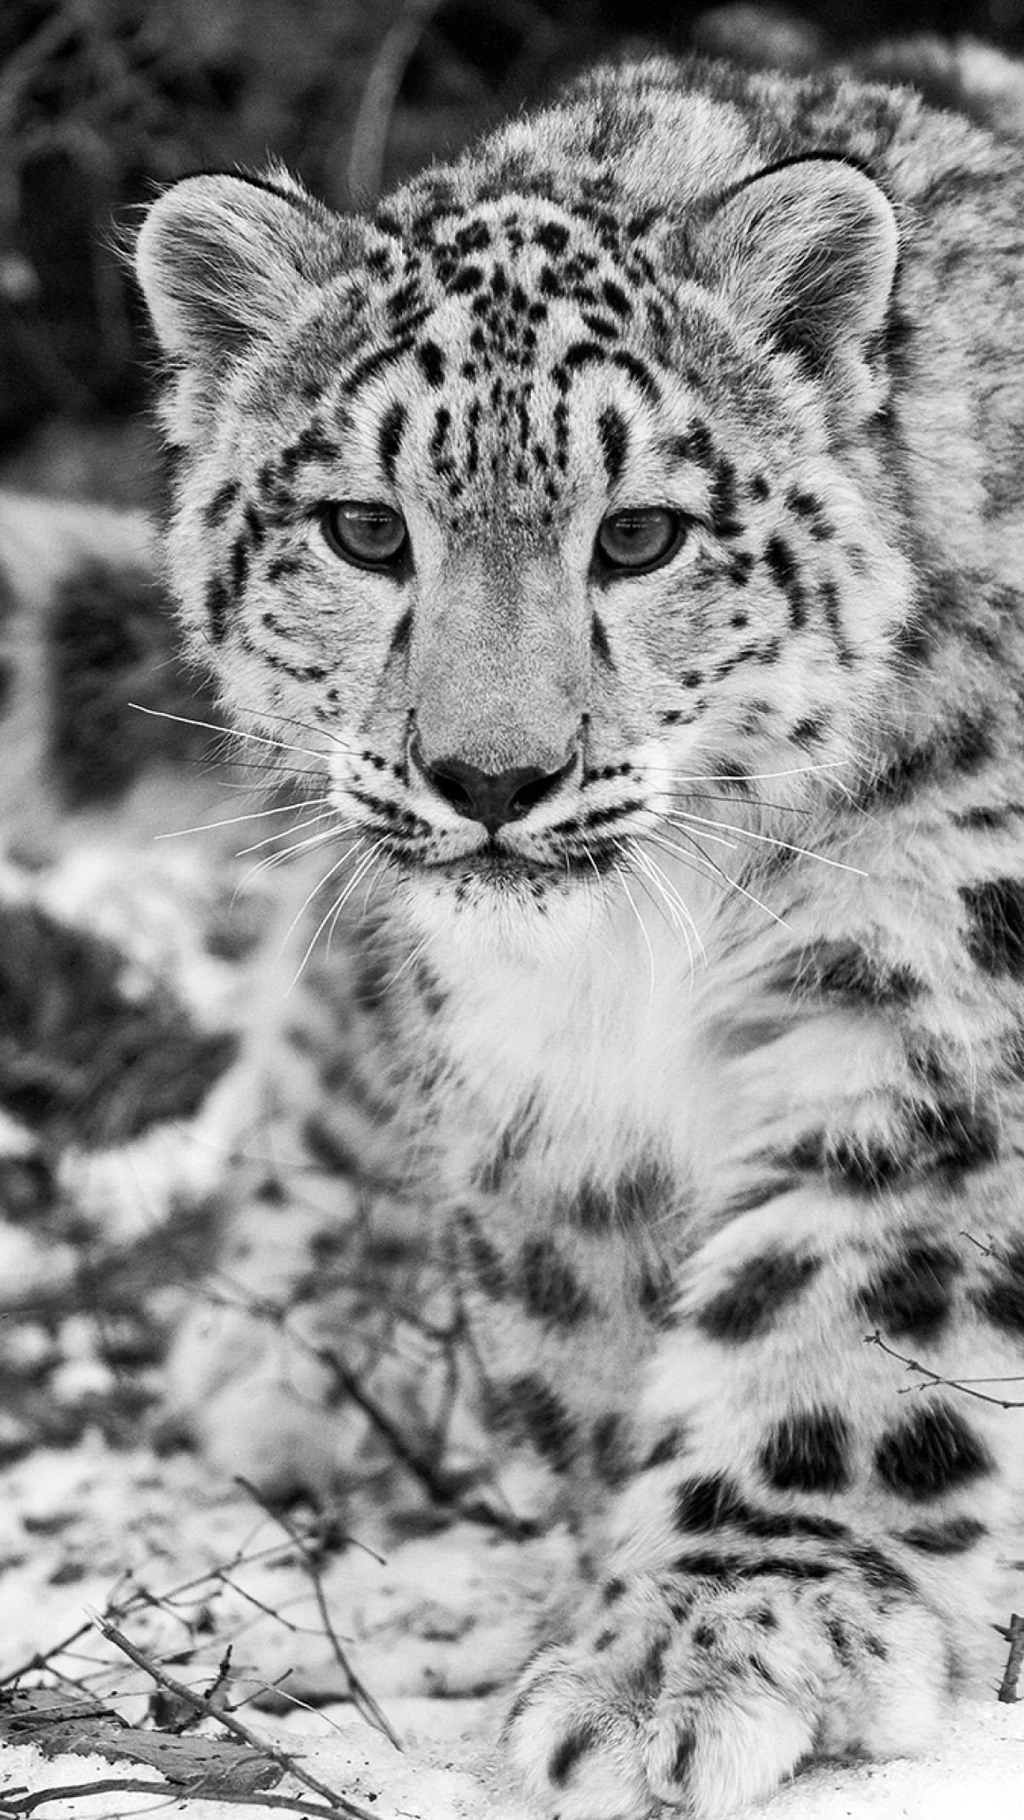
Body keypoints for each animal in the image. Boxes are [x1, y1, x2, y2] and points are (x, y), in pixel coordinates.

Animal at [130, 43, 1024, 1820]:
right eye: (363, 529)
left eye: (640, 534)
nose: (491, 776)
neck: (637, 956)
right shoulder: (531, 1083)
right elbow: (582, 1316)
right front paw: (630, 1608)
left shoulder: (936, 985)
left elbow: (850, 1315)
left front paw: (718, 1634)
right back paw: (298, 1344)